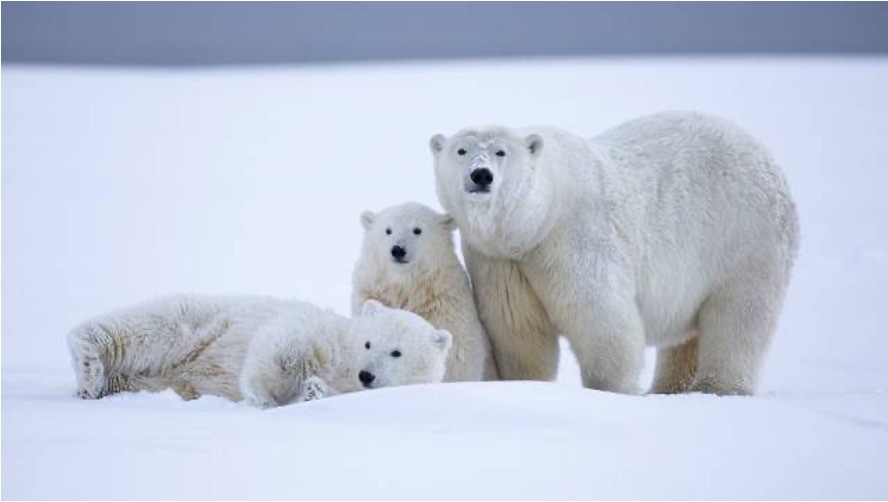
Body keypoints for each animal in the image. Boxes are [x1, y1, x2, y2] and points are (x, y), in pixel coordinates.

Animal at [430, 111, 796, 396]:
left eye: (501, 151)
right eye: (461, 150)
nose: (481, 175)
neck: (536, 223)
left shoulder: (574, 236)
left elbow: (601, 317)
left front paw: (611, 390)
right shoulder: (500, 260)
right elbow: (518, 330)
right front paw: (524, 383)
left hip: (743, 236)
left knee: (739, 315)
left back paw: (717, 387)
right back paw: (668, 388)